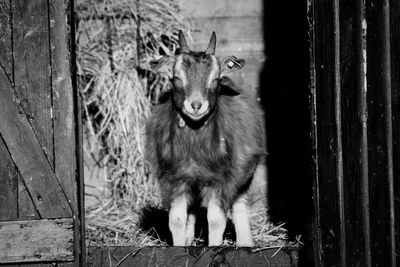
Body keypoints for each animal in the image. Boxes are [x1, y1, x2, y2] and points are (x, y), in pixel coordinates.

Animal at [145, 30, 266, 247]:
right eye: (176, 78)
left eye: (216, 79)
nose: (196, 105)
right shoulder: (175, 177)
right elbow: (176, 219)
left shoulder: (222, 179)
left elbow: (216, 220)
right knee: (192, 211)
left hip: (244, 172)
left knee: (239, 204)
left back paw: (245, 243)